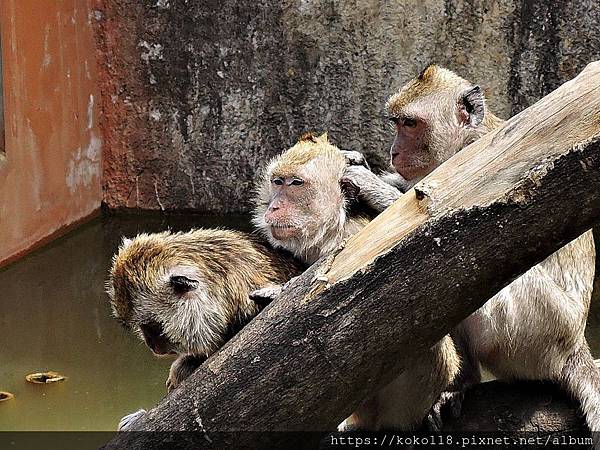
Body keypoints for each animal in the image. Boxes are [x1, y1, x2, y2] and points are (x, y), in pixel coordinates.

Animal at [340, 66, 596, 432]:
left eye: (410, 124)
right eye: (397, 123)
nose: (393, 152)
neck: (465, 140)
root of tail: (576, 344)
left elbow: (443, 225)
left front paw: (367, 183)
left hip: (540, 330)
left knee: (466, 272)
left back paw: (463, 381)